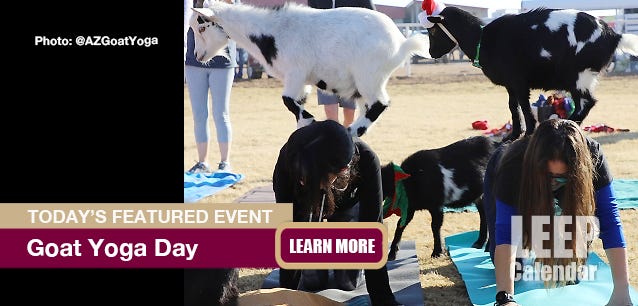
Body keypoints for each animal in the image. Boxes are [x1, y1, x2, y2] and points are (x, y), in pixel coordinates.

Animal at [189, 0, 430, 137]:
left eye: (202, 27)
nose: (198, 56)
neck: (271, 33)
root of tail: (402, 43)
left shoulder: (295, 73)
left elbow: (286, 99)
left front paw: (310, 119)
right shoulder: (302, 81)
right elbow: (296, 102)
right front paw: (303, 126)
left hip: (368, 76)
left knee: (380, 104)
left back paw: (352, 131)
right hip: (365, 84)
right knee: (369, 107)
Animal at [420, 0, 638, 141]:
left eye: (433, 30)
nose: (431, 52)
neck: (484, 38)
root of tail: (614, 35)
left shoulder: (519, 81)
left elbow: (524, 107)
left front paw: (530, 131)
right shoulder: (510, 84)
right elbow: (513, 107)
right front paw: (513, 135)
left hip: (579, 74)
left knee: (587, 102)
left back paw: (567, 123)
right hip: (579, 77)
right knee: (582, 102)